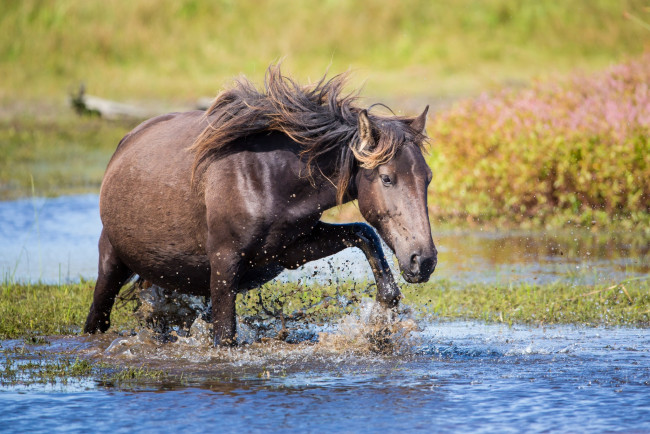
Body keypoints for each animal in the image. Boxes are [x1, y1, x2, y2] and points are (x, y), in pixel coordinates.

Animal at [82, 67, 436, 346]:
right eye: (387, 178)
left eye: (428, 178)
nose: (424, 261)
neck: (267, 177)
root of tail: (126, 142)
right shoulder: (224, 263)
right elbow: (225, 336)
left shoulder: (291, 250)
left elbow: (364, 233)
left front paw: (384, 310)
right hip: (111, 264)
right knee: (96, 320)